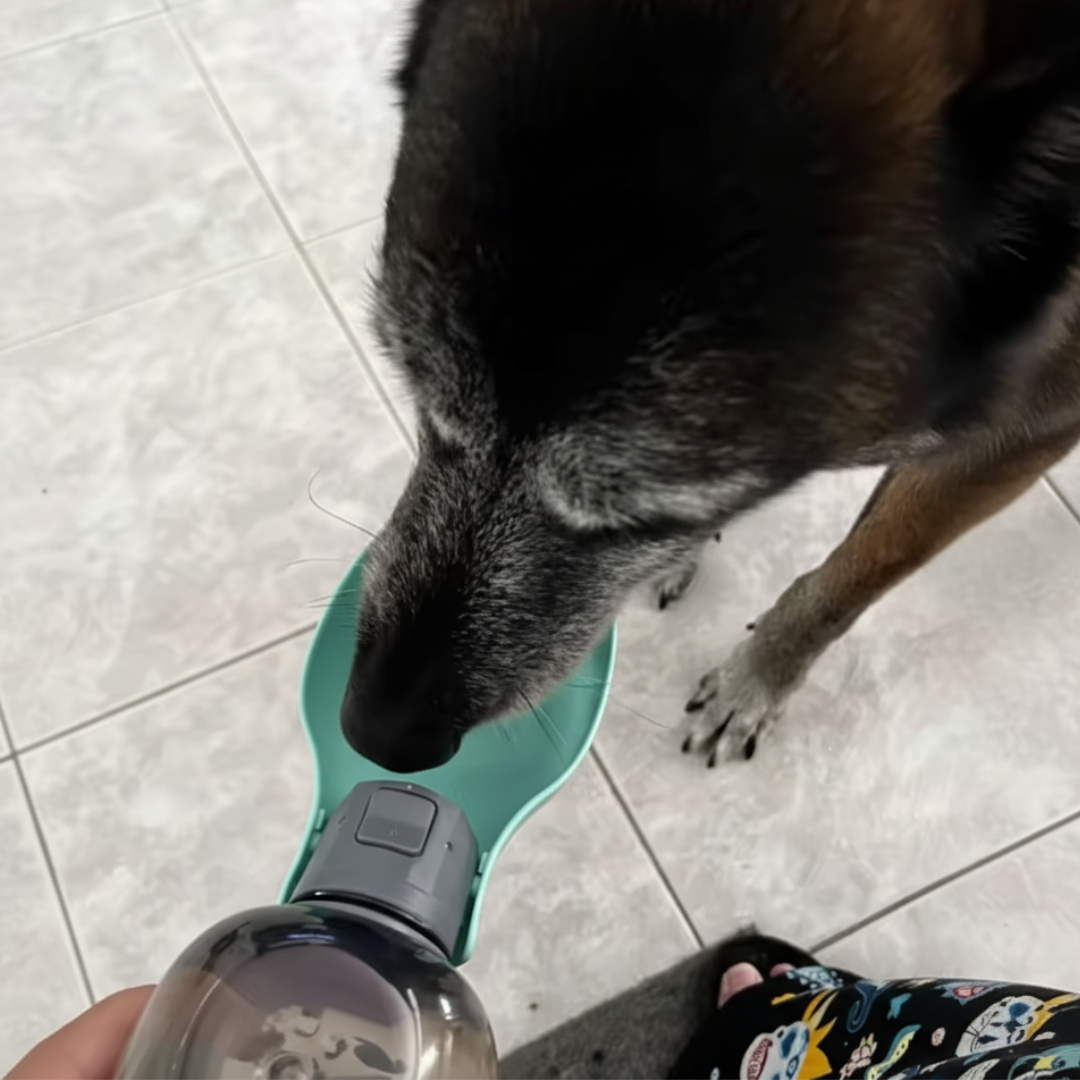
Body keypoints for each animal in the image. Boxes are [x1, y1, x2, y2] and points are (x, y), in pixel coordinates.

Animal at [340, 0, 1080, 774]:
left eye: (639, 518)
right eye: (424, 409)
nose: (376, 731)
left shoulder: (1022, 433)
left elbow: (861, 568)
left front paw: (756, 678)